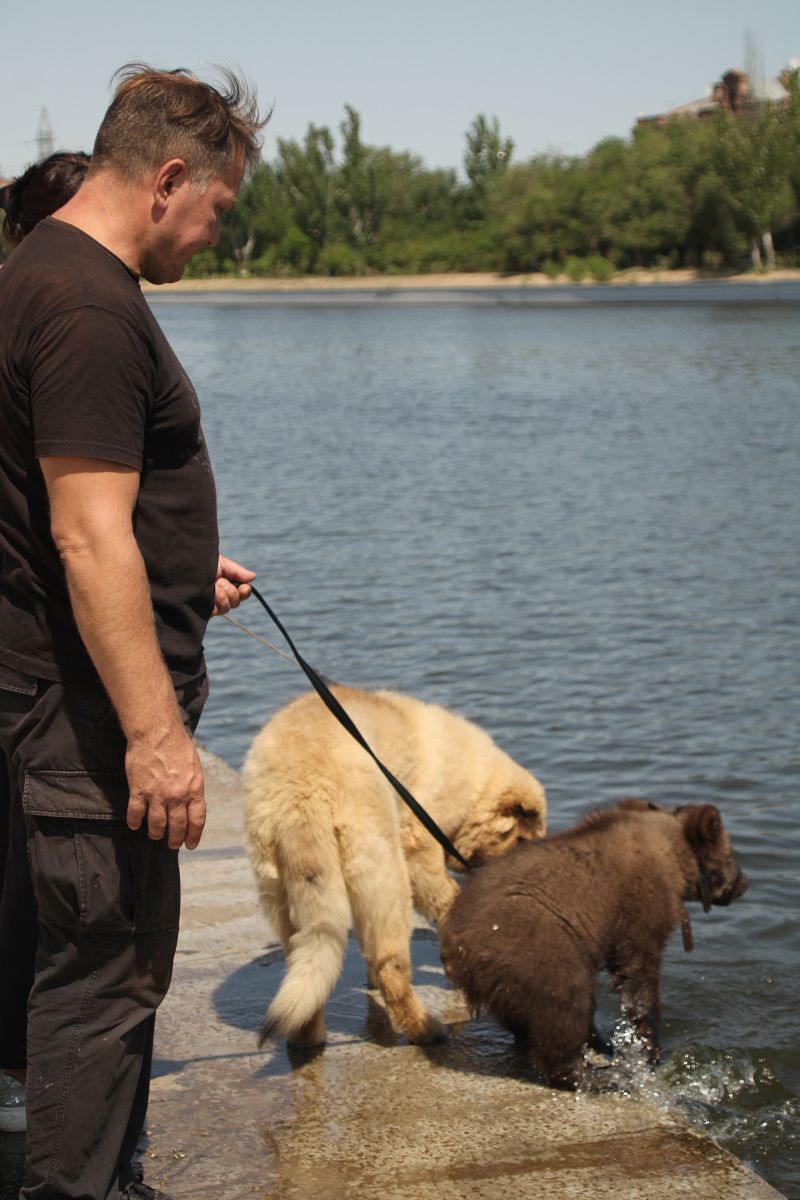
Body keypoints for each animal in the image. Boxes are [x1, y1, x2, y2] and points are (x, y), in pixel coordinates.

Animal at [242, 691, 544, 1046]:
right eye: (520, 840)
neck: (473, 785)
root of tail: (303, 795)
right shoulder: (418, 847)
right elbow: (446, 899)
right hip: (387, 876)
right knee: (392, 968)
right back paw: (426, 1030)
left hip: (280, 887)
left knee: (306, 970)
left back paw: (308, 1039)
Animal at [441, 801, 748, 1094]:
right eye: (731, 854)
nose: (744, 883)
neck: (675, 854)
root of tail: (455, 943)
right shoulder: (641, 904)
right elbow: (639, 973)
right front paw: (648, 1047)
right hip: (537, 946)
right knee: (564, 1006)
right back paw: (594, 1078)